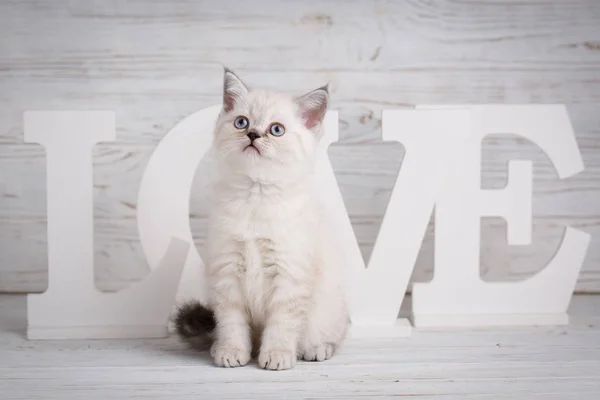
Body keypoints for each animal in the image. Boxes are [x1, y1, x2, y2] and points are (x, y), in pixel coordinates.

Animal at [173, 67, 350, 370]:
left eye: (276, 130)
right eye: (241, 123)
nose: (253, 135)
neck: (256, 194)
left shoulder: (289, 273)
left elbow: (281, 324)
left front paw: (277, 355)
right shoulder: (227, 272)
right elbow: (231, 323)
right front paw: (231, 352)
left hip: (329, 308)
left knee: (333, 336)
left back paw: (316, 349)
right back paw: (220, 347)